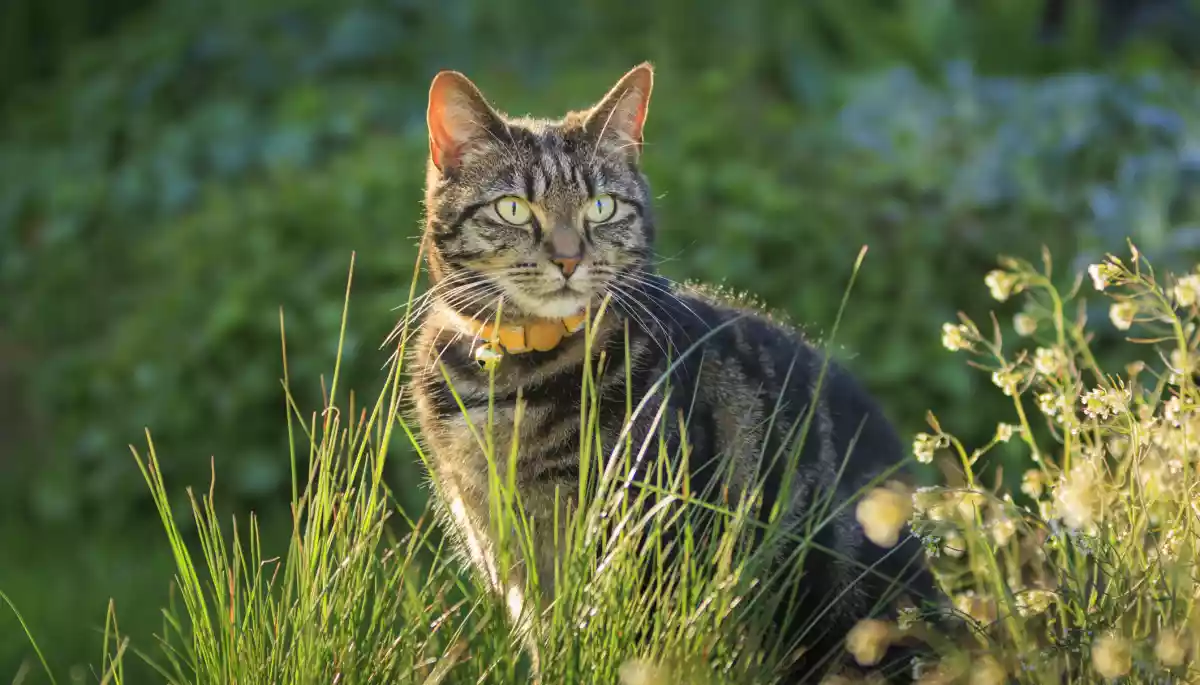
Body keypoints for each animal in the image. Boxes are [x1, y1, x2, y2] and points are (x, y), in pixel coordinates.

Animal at [408, 62, 931, 681]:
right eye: (512, 208)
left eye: (602, 207)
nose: (568, 258)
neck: (512, 378)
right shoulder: (505, 554)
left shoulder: (642, 546)